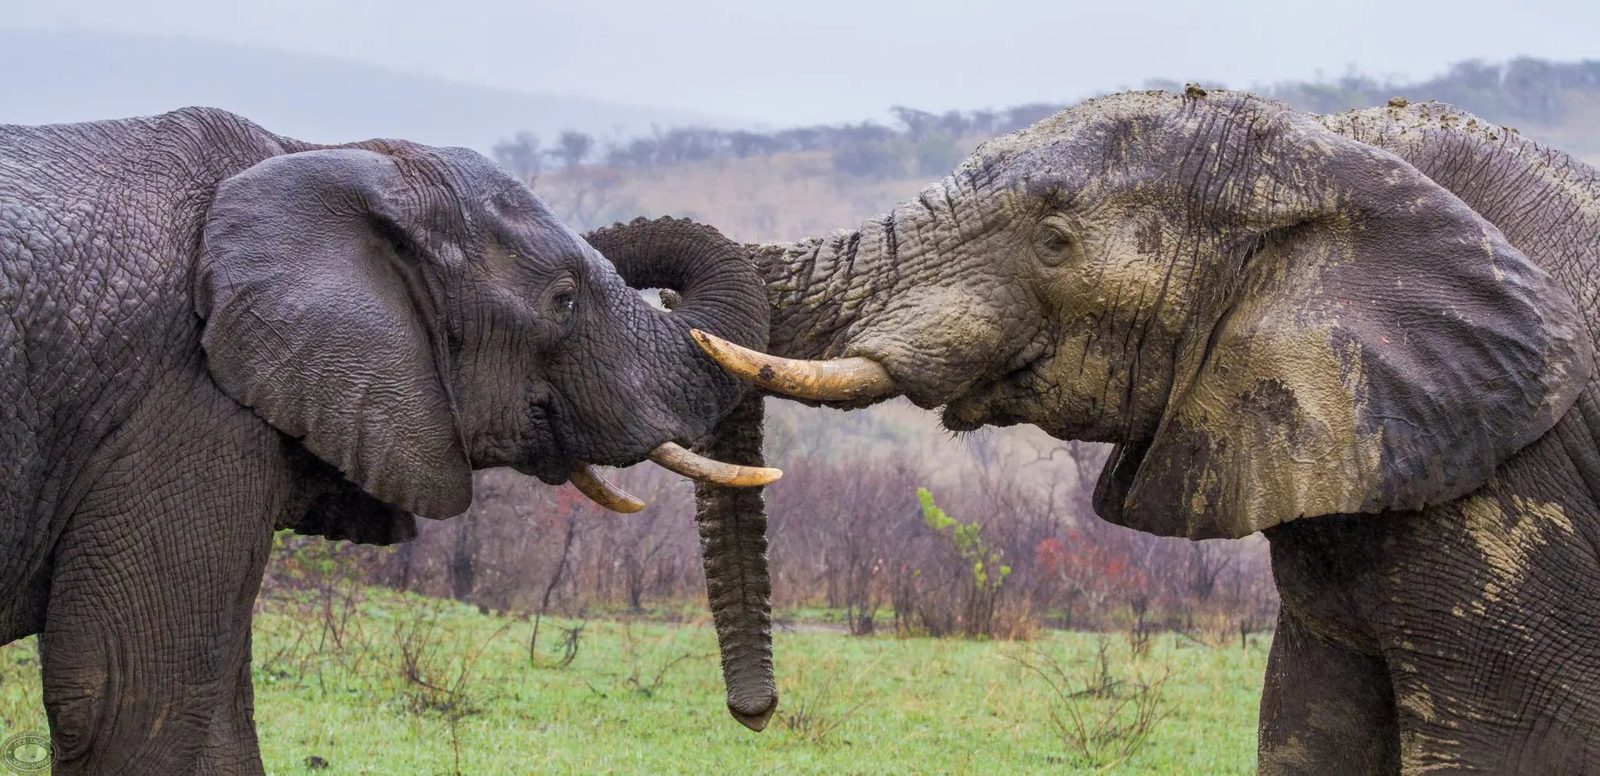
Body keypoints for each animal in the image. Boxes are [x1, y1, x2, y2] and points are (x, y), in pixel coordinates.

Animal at [0, 107, 782, 773]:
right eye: (564, 300)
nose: (755, 715)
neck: (320, 153)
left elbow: (214, 720)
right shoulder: (186, 403)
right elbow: (126, 695)